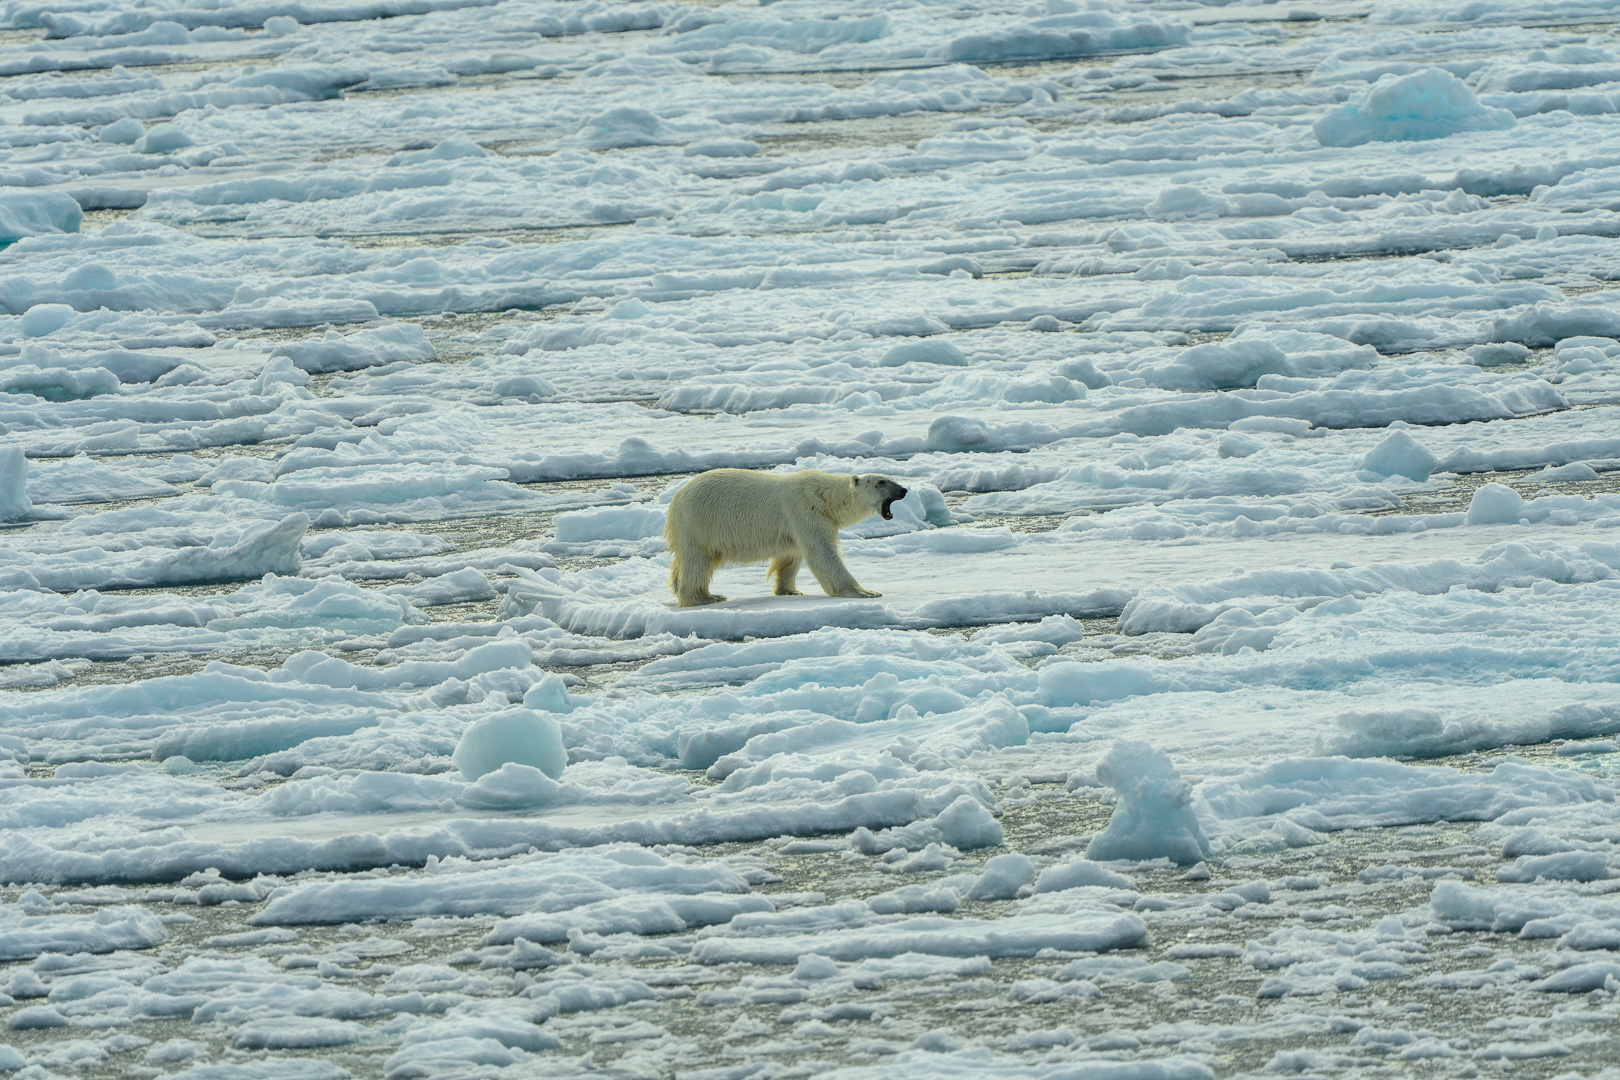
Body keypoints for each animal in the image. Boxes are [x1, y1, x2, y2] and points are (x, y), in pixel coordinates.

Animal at [664, 468, 908, 607]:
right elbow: (823, 553)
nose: (904, 490)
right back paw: (706, 597)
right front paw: (866, 592)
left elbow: (791, 555)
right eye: (881, 482)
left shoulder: (797, 524)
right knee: (698, 561)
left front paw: (790, 590)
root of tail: (675, 501)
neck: (825, 496)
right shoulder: (806, 510)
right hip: (700, 522)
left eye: (891, 478)